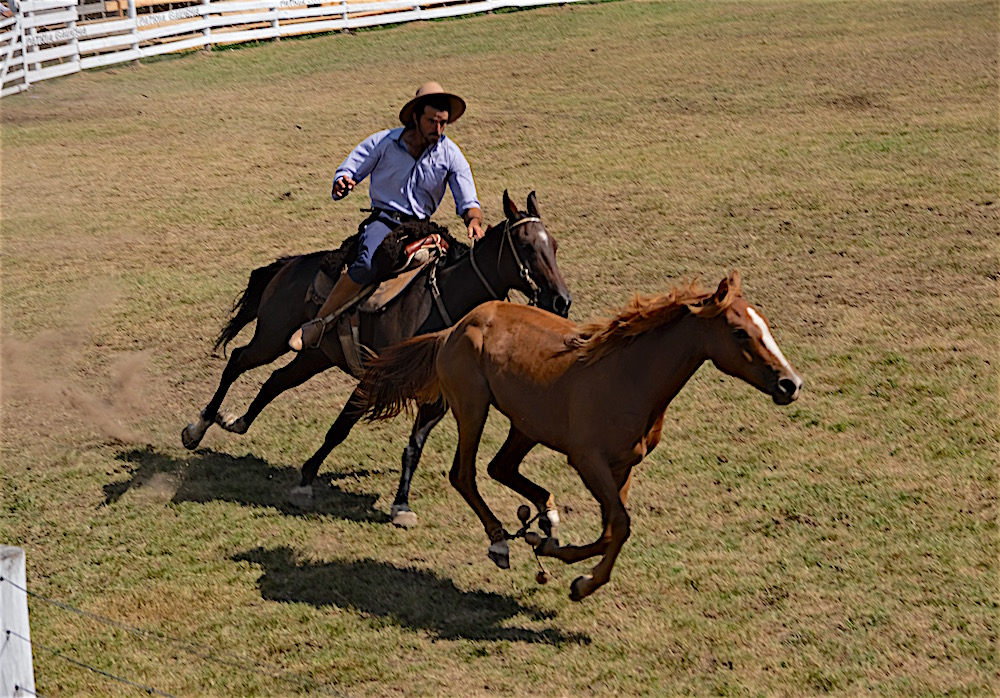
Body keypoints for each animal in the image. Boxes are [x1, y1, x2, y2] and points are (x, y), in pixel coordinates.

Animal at [180, 190, 572, 520]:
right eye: (525, 245)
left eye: (553, 245)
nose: (561, 301)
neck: (441, 300)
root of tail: (292, 264)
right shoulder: (375, 378)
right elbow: (340, 429)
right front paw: (305, 481)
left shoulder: (437, 398)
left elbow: (413, 446)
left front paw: (401, 504)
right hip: (271, 338)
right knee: (237, 361)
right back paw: (197, 429)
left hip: (313, 357)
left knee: (275, 381)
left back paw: (236, 422)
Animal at [360, 270, 804, 600]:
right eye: (740, 332)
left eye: (764, 324)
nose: (790, 384)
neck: (632, 376)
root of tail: (455, 328)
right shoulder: (588, 461)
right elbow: (620, 525)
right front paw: (581, 581)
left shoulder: (623, 466)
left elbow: (611, 529)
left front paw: (554, 551)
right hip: (473, 407)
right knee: (464, 474)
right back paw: (502, 541)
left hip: (526, 425)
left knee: (499, 468)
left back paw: (545, 515)